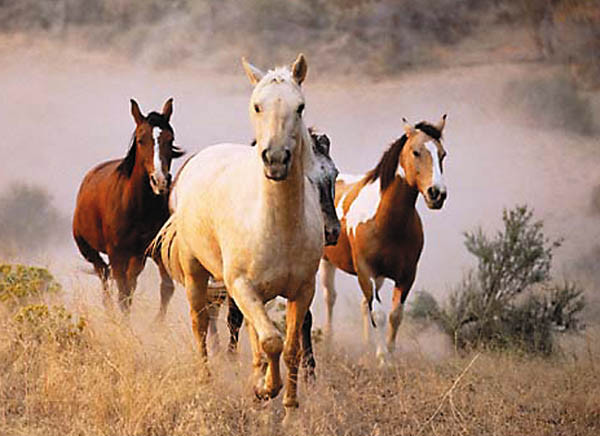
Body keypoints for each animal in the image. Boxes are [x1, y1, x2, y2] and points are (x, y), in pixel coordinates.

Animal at [73, 99, 183, 312]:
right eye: (141, 140)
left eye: (170, 139)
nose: (160, 181)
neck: (139, 207)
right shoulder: (117, 255)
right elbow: (123, 295)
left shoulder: (155, 251)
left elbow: (166, 288)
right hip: (90, 251)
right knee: (104, 278)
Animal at [151, 54, 324, 417]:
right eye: (257, 106)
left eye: (300, 107)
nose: (276, 159)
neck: (279, 226)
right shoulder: (243, 286)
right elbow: (271, 340)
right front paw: (264, 390)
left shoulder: (302, 291)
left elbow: (289, 348)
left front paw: (288, 406)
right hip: (196, 274)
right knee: (200, 323)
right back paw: (206, 377)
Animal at [321, 116, 448, 364]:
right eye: (416, 152)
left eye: (443, 154)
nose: (437, 193)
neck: (388, 222)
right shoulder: (365, 271)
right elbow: (378, 313)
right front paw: (383, 359)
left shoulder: (406, 276)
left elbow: (395, 315)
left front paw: (389, 351)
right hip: (326, 261)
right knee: (330, 297)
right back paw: (329, 340)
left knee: (363, 305)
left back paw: (366, 344)